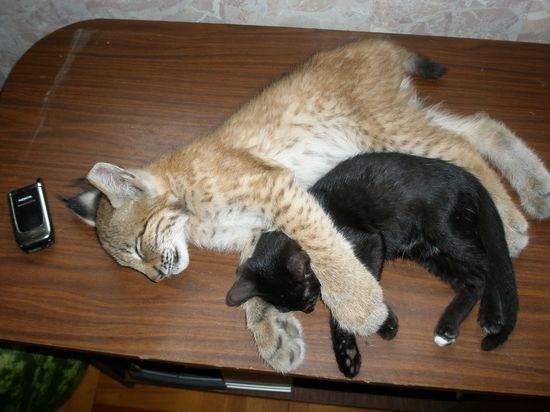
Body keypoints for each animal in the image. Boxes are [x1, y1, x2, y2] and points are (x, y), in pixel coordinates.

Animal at [226, 152, 518, 377]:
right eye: (288, 308)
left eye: (307, 296)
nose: (309, 309)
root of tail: (467, 176)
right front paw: (353, 346)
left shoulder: (370, 243)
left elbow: (353, 292)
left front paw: (377, 328)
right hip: (430, 253)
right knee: (472, 280)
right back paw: (447, 327)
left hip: (446, 232)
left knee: (487, 266)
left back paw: (491, 316)